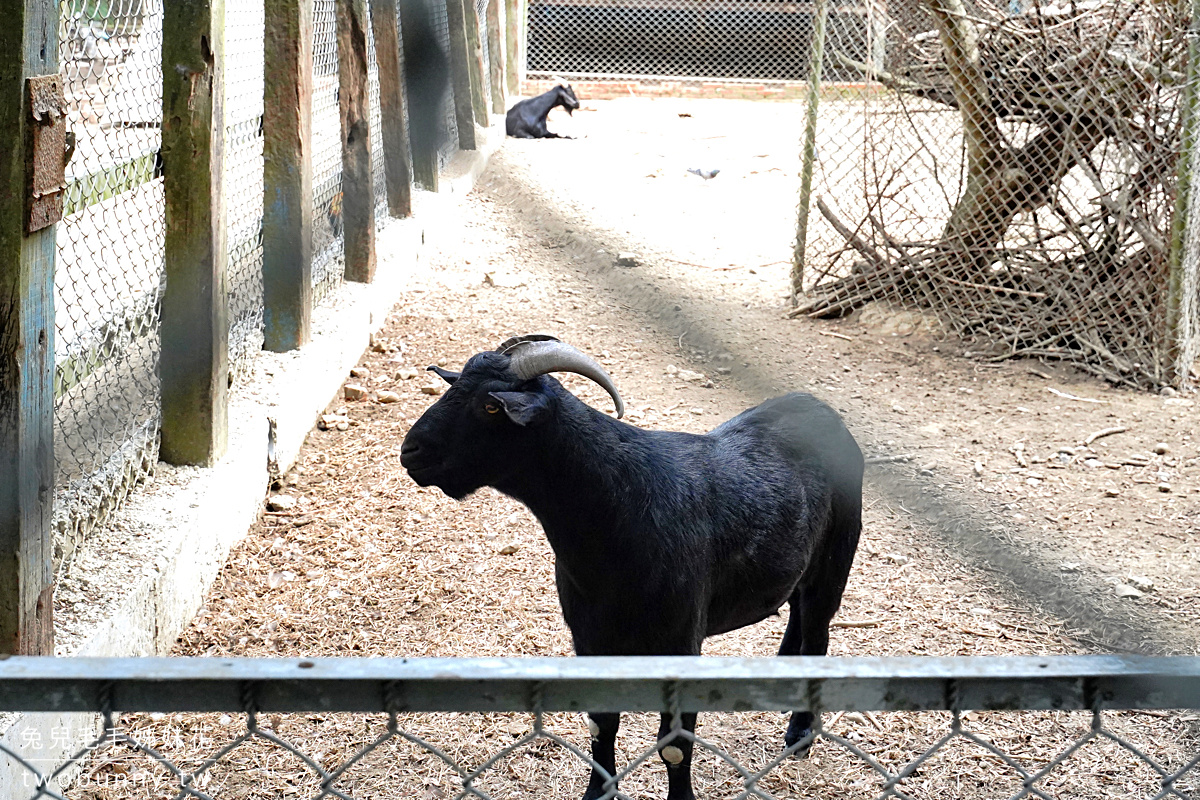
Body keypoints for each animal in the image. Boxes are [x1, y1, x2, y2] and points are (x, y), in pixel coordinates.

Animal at [400, 335, 864, 796]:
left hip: (836, 558)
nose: (410, 451)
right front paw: (595, 793)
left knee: (818, 630)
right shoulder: (590, 638)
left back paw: (800, 734)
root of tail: (823, 411)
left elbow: (674, 744)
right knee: (797, 610)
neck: (622, 509)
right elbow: (600, 725)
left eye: (492, 406)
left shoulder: (682, 643)